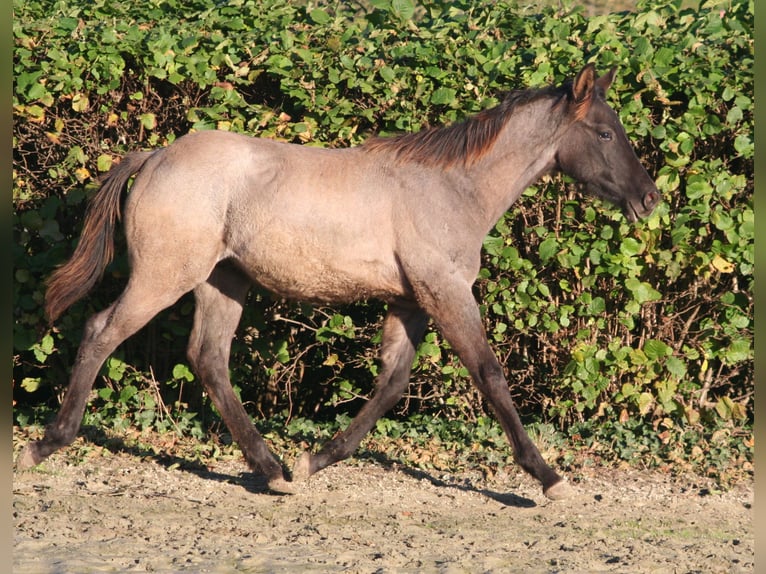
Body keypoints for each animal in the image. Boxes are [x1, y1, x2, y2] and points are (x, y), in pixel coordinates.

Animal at [16, 63, 660, 502]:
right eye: (605, 134)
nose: (649, 199)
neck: (451, 187)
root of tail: (153, 157)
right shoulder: (445, 293)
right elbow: (490, 375)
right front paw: (549, 477)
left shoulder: (412, 302)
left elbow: (392, 384)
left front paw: (315, 461)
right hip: (165, 276)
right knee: (102, 332)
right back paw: (47, 443)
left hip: (223, 282)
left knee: (208, 359)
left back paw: (273, 470)